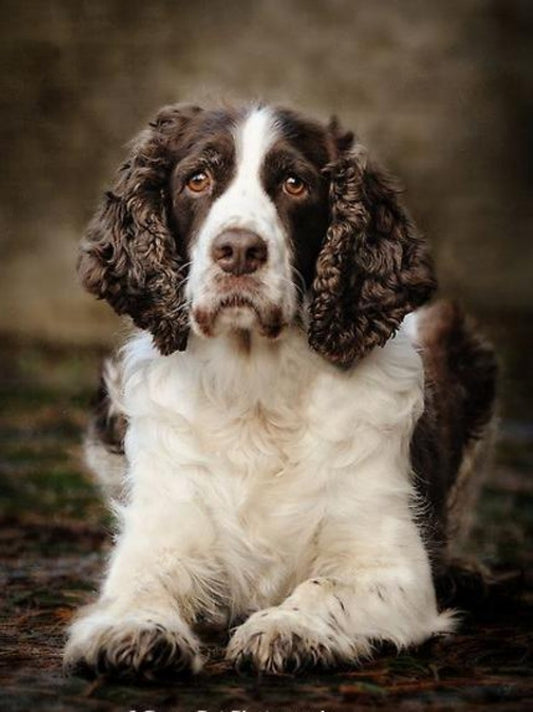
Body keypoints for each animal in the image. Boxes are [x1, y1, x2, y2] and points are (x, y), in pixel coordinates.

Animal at [64, 101, 496, 680]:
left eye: (295, 184)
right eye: (197, 179)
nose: (239, 251)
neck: (256, 393)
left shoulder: (390, 565)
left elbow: (325, 587)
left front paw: (288, 627)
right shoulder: (163, 534)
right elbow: (141, 584)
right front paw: (133, 629)